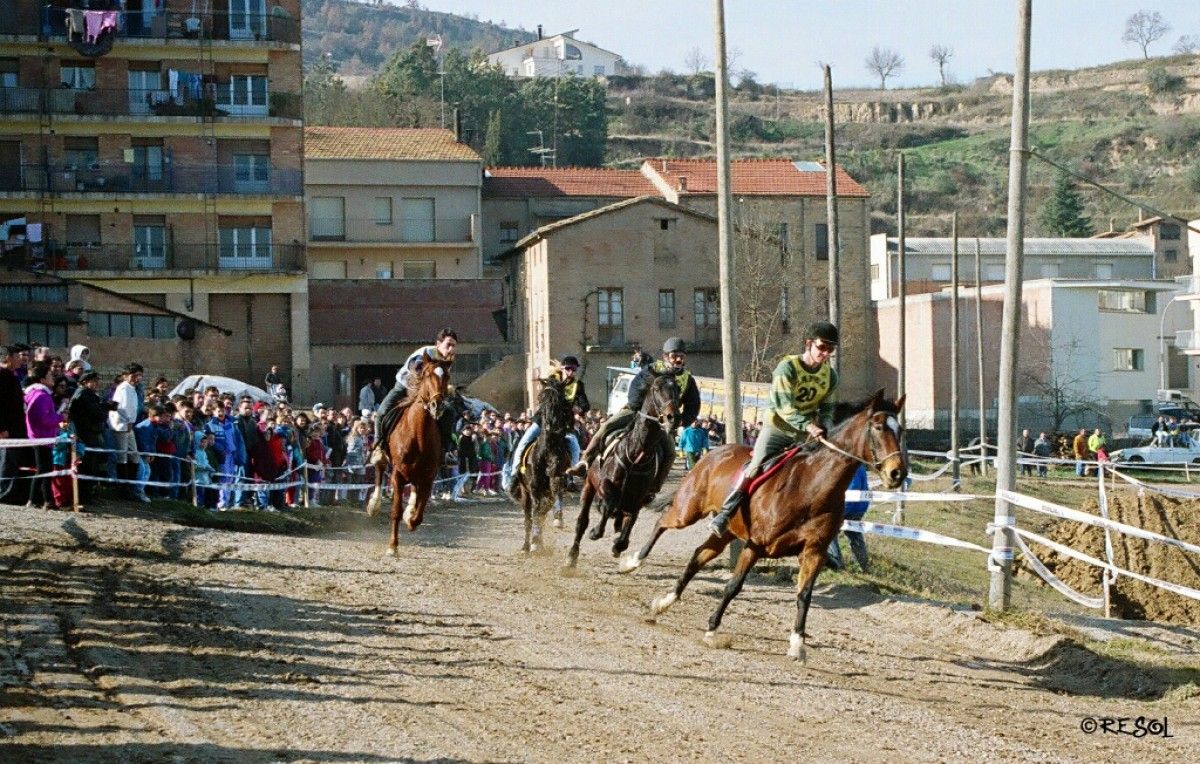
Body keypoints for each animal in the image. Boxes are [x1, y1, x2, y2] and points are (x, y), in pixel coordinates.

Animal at [364, 357, 451, 554]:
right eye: (427, 374)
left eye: (447, 376)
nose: (437, 405)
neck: (417, 433)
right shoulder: (397, 475)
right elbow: (395, 511)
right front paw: (393, 547)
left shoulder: (429, 476)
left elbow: (419, 513)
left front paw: (411, 519)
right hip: (385, 457)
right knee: (380, 468)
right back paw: (374, 505)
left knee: (414, 488)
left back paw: (410, 510)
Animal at [508, 371, 573, 551]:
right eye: (542, 397)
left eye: (560, 399)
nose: (551, 424)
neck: (548, 450)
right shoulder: (534, 487)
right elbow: (536, 513)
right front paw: (534, 543)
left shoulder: (556, 480)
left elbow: (547, 505)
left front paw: (557, 520)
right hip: (525, 494)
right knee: (528, 519)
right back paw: (526, 545)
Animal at [566, 369, 681, 566]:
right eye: (657, 388)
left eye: (678, 390)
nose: (672, 417)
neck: (635, 456)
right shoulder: (604, 485)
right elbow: (608, 505)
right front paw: (596, 532)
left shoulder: (639, 497)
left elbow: (629, 522)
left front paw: (618, 545)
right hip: (589, 485)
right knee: (582, 521)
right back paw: (572, 555)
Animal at [633, 390, 902, 657]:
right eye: (878, 427)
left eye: (900, 429)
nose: (897, 473)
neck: (811, 490)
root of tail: (714, 453)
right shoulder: (755, 545)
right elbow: (733, 586)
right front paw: (712, 630)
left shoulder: (814, 552)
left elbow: (804, 595)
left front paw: (797, 643)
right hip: (688, 510)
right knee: (662, 522)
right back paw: (632, 561)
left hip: (726, 531)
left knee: (698, 556)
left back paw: (664, 602)